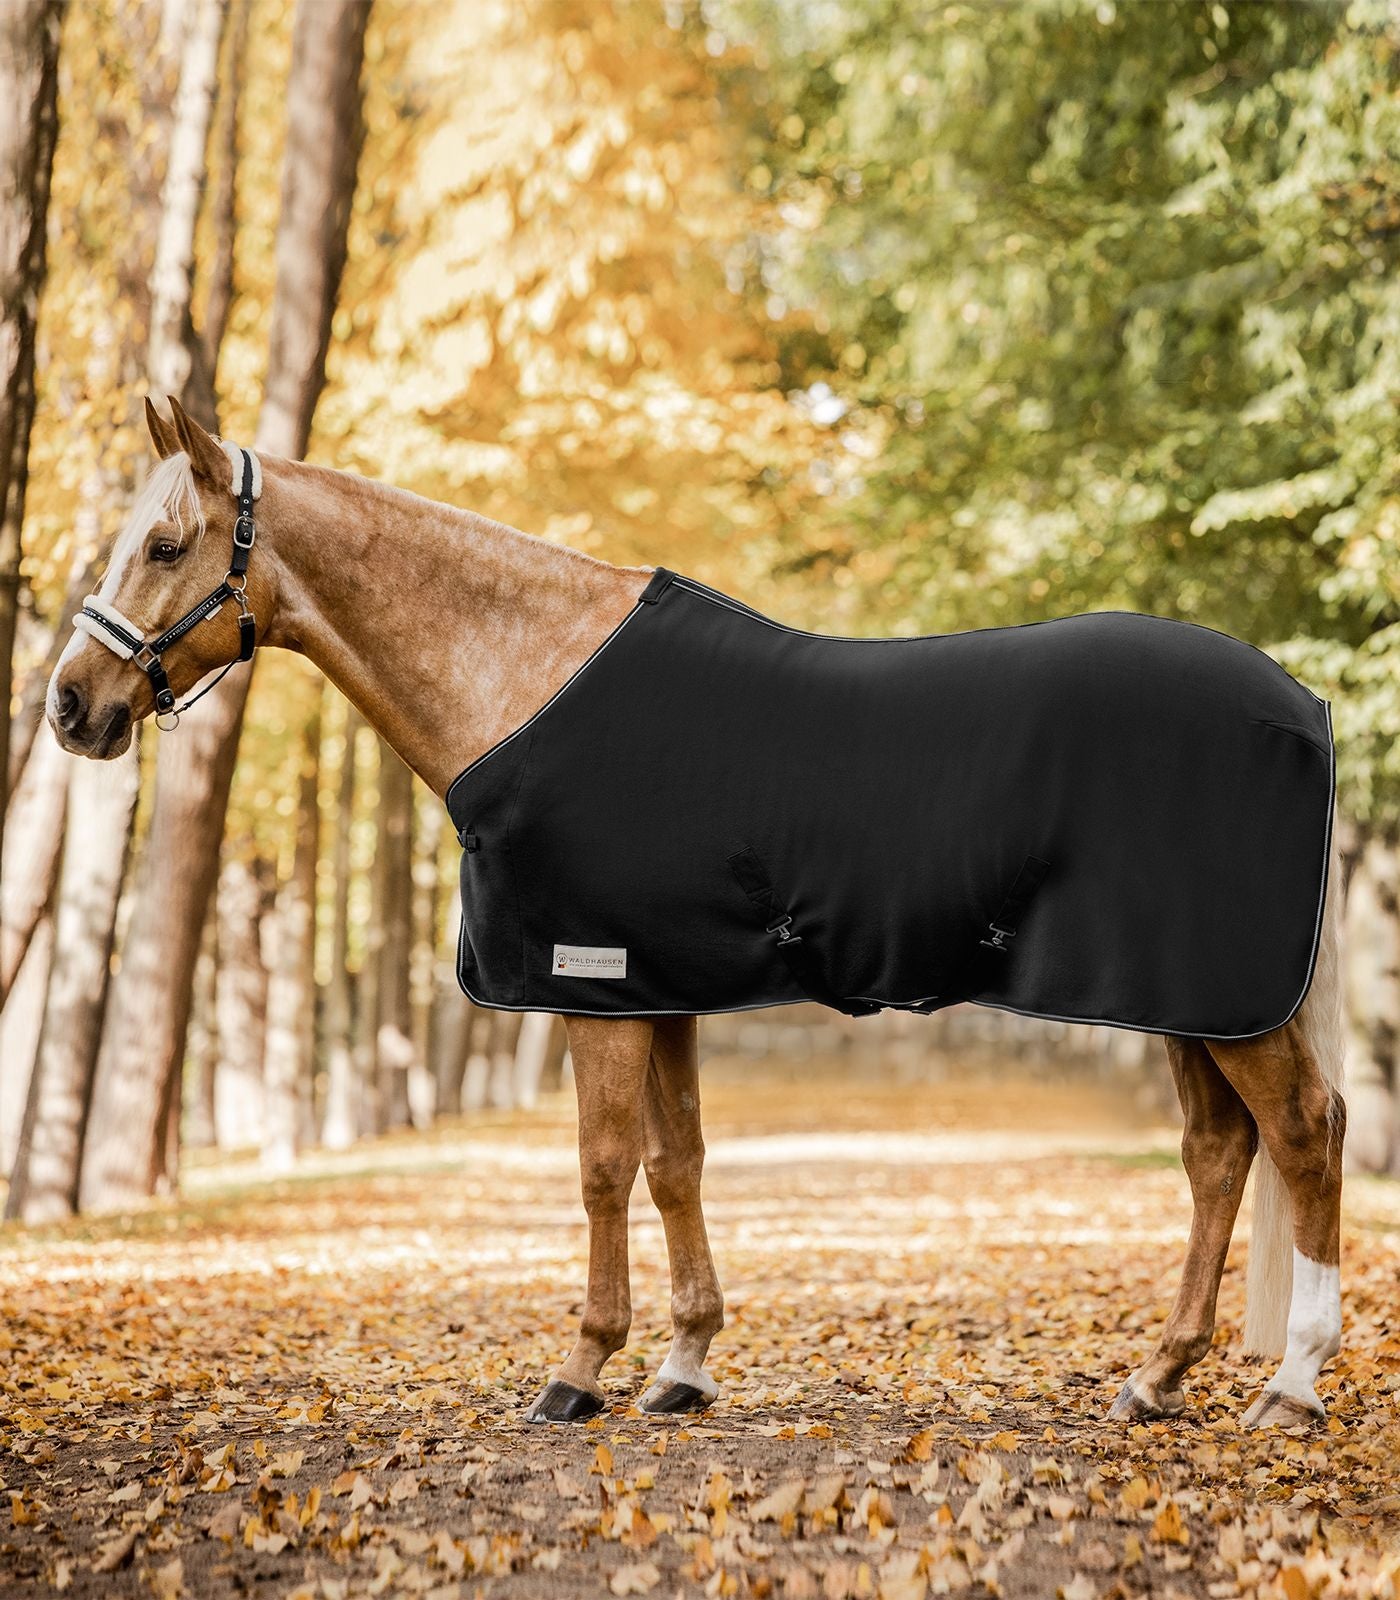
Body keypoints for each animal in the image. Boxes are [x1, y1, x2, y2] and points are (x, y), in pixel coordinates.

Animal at [47, 396, 1346, 1429]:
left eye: (164, 543)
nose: (70, 706)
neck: (528, 673)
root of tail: (1300, 702)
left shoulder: (592, 981)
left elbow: (602, 1168)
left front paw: (580, 1369)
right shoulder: (658, 984)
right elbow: (677, 1163)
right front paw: (682, 1365)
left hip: (1222, 998)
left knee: (1302, 1132)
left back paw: (1289, 1385)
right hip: (1188, 999)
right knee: (1217, 1152)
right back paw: (1157, 1378)